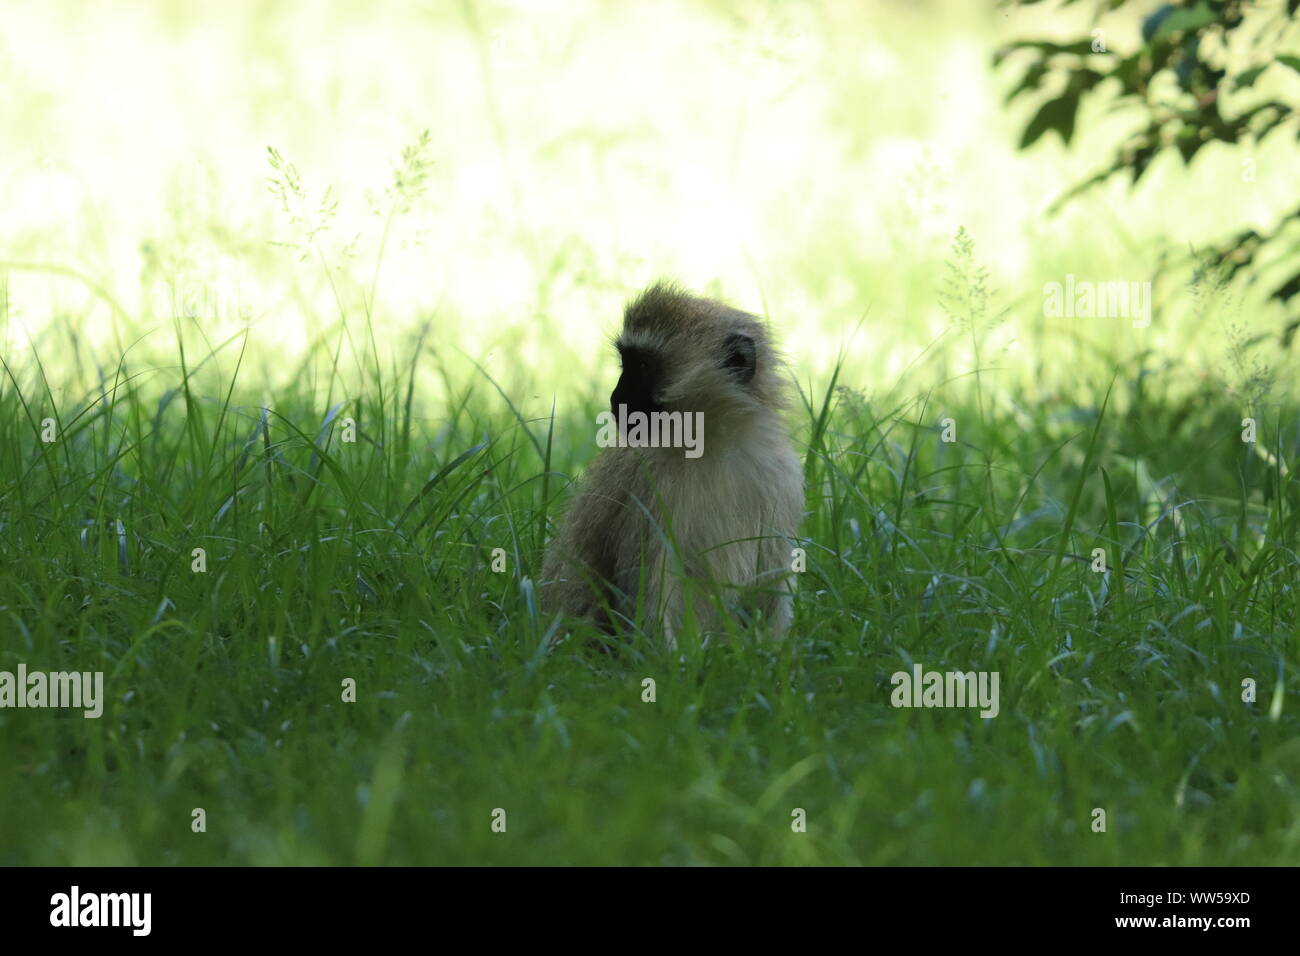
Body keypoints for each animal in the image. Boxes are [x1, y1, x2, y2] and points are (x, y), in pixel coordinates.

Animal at [538, 280, 800, 647]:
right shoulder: (650, 486)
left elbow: (770, 586)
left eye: (642, 366)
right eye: (626, 361)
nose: (616, 399)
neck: (712, 444)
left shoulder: (782, 475)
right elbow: (653, 590)